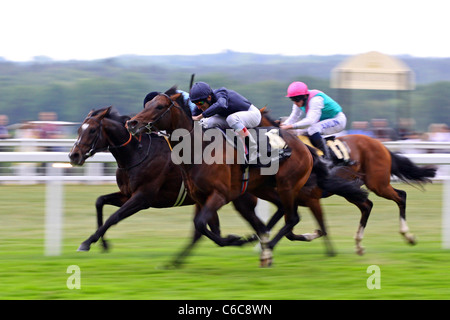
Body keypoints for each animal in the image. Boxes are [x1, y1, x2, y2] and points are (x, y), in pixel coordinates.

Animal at [68, 106, 266, 266]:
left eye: (93, 130)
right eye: (79, 129)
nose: (73, 155)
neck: (137, 152)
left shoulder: (143, 198)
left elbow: (113, 217)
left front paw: (87, 242)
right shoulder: (127, 194)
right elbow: (99, 201)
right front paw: (103, 244)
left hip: (240, 199)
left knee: (257, 225)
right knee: (206, 231)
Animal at [125, 87, 368, 264]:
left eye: (159, 106)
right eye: (146, 105)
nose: (132, 123)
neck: (199, 149)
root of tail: (305, 147)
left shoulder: (220, 195)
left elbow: (202, 225)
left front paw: (237, 239)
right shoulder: (201, 197)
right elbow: (200, 228)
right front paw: (176, 261)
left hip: (288, 185)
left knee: (292, 218)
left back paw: (269, 251)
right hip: (264, 187)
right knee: (284, 214)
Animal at [258, 110, 438, 255]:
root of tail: (380, 145)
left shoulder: (310, 199)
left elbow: (314, 226)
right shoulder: (290, 199)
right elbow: (287, 229)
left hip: (378, 184)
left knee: (401, 196)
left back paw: (407, 235)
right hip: (351, 189)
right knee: (367, 206)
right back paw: (358, 244)